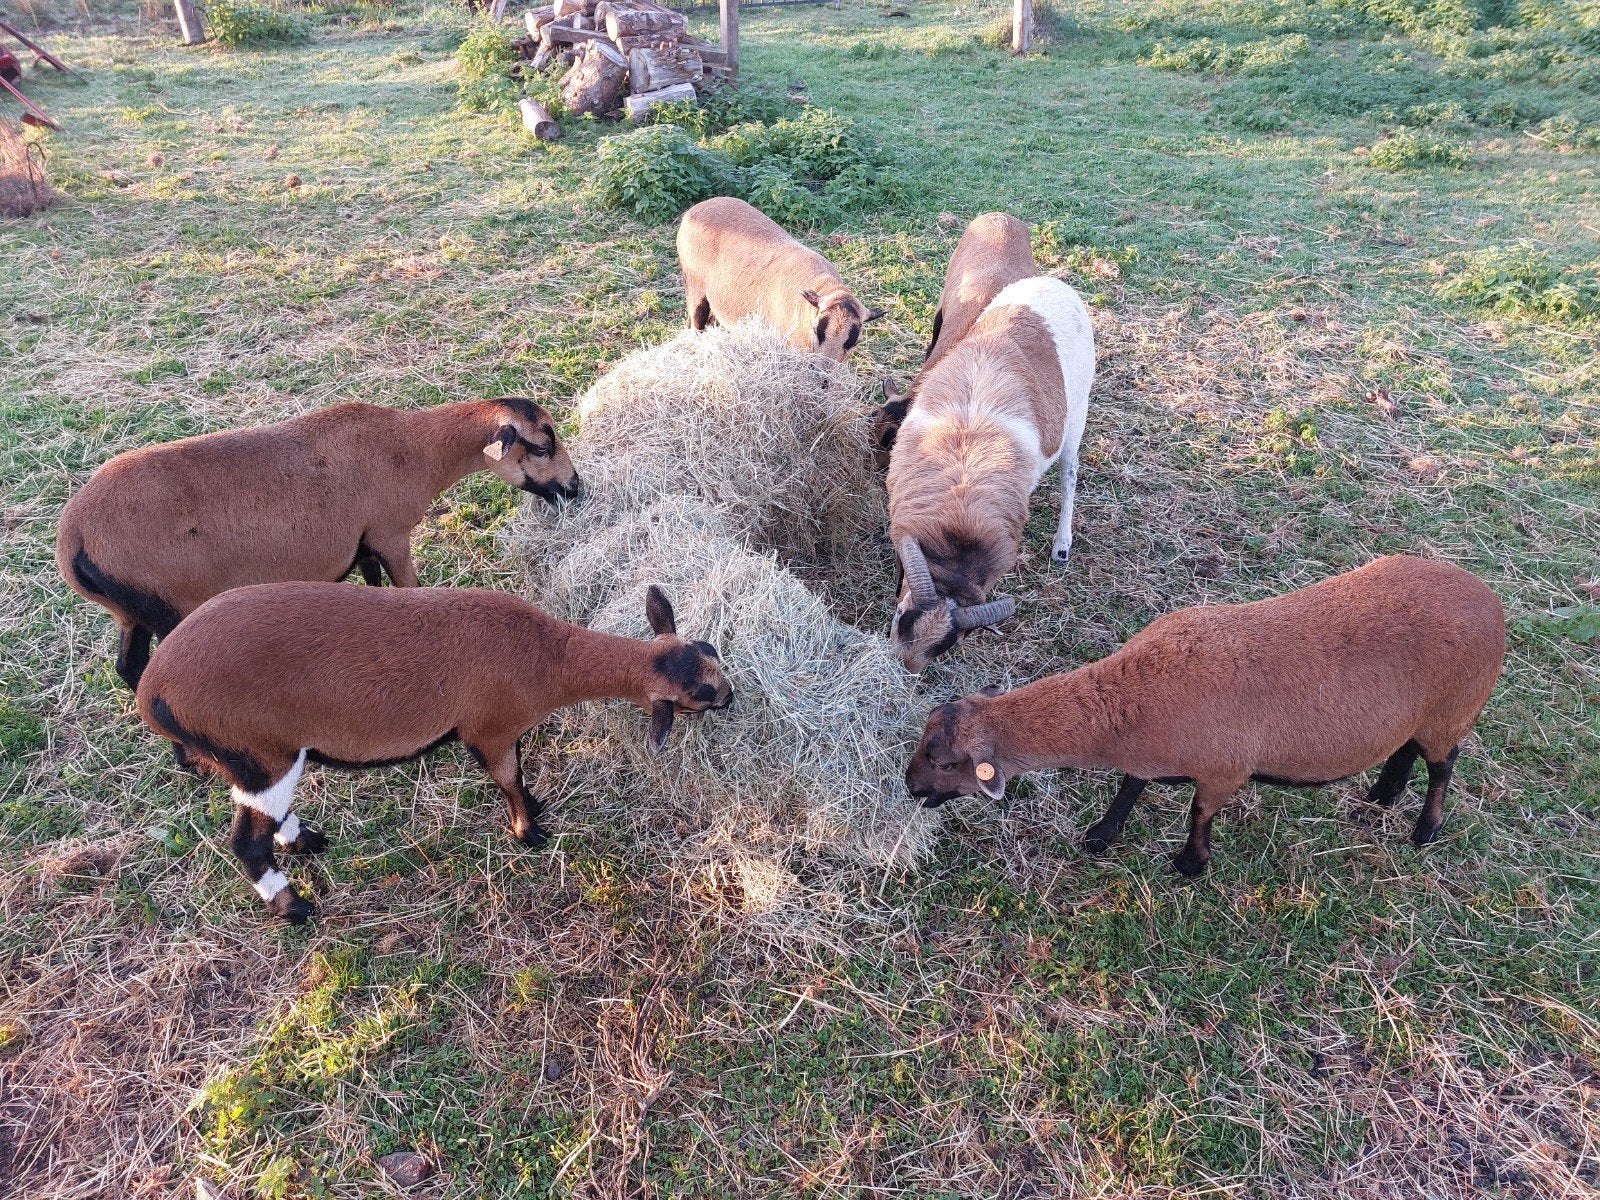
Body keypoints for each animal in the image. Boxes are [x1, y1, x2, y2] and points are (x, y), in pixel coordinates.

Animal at [57, 397, 580, 692]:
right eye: (540, 446)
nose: (576, 488)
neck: (411, 449)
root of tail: (71, 540)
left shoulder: (363, 542)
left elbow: (372, 586)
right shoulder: (391, 534)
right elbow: (410, 591)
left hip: (131, 610)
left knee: (129, 668)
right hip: (168, 606)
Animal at [136, 581, 733, 922]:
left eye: (708, 648)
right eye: (699, 696)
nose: (730, 696)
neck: (550, 656)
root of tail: (152, 691)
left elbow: (518, 776)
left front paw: (535, 812)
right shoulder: (489, 729)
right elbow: (508, 778)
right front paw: (530, 833)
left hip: (251, 761)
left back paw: (308, 841)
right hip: (263, 753)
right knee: (246, 843)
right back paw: (295, 906)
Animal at [882, 230, 1096, 673]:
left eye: (948, 645)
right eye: (901, 619)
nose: (903, 671)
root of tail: (1056, 284)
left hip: (1077, 417)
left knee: (1070, 475)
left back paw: (1062, 546)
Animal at [904, 556, 1506, 876]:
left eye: (945, 762)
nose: (909, 788)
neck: (1127, 702)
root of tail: (1490, 600)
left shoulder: (1223, 770)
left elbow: (1198, 813)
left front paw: (1190, 865)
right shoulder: (1149, 755)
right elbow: (1129, 787)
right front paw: (1101, 836)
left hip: (1453, 710)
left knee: (1442, 768)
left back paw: (1424, 831)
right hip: (1418, 716)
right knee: (1405, 751)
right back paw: (1380, 796)